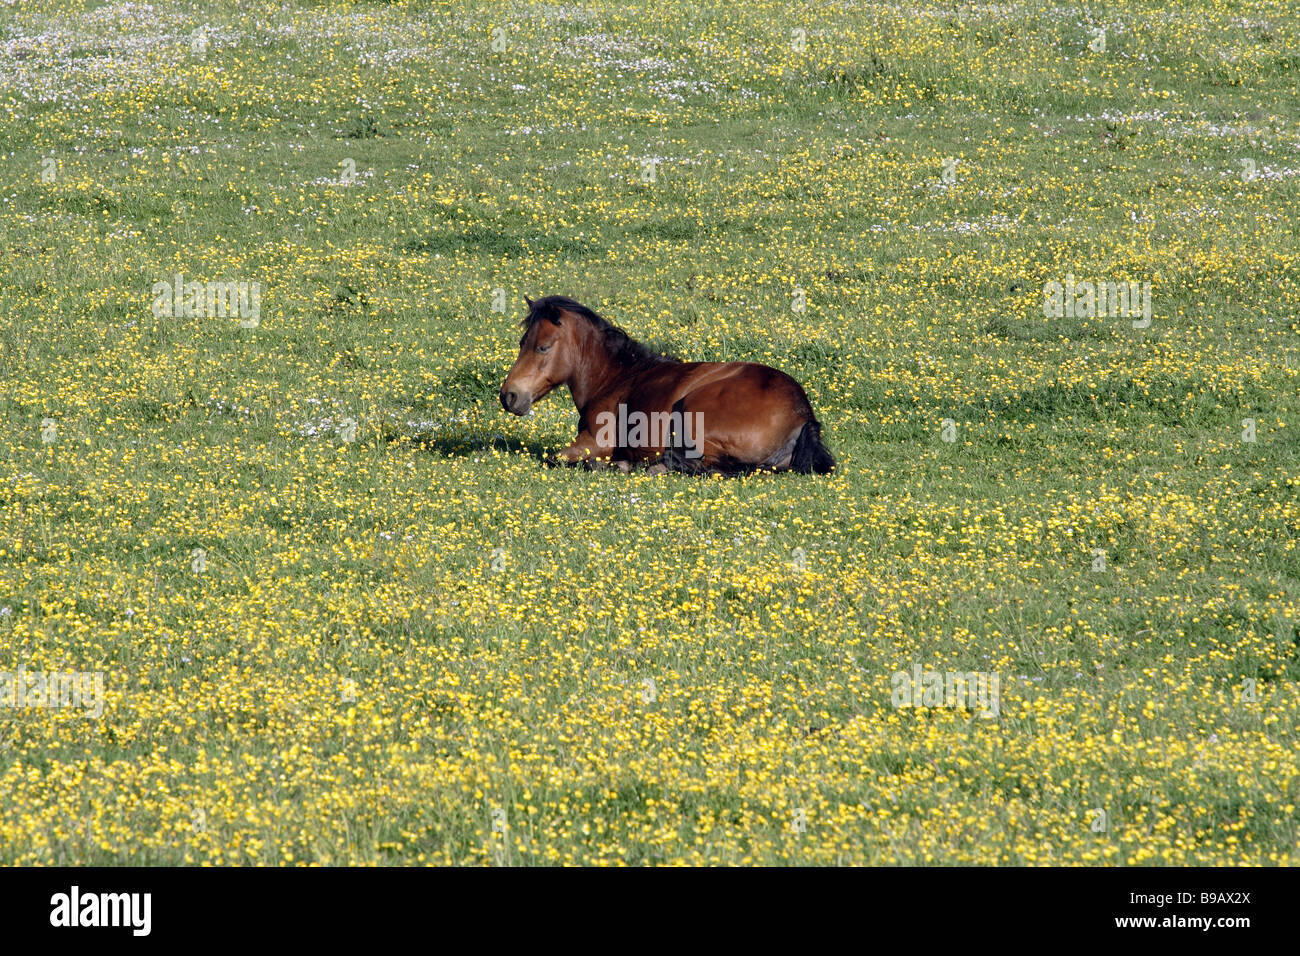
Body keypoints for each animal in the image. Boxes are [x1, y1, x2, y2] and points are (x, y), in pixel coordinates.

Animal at [498, 295, 835, 475]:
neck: (616, 378)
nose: (509, 396)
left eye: (542, 347)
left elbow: (554, 458)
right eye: (522, 342)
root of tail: (802, 415)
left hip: (694, 410)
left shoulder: (594, 442)